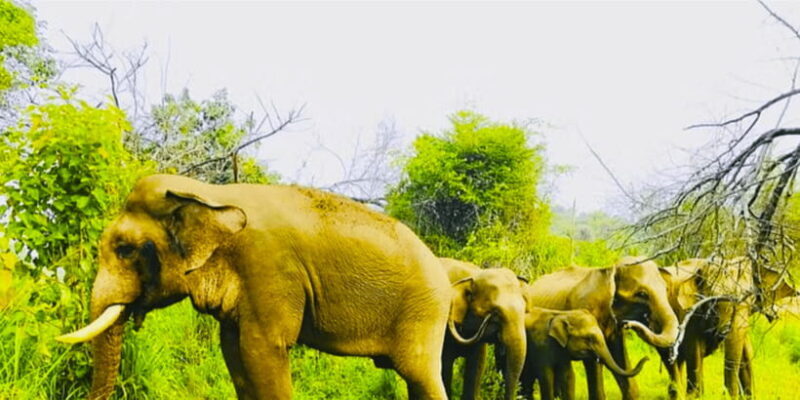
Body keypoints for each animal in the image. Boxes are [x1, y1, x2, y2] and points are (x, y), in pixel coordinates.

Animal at [55, 174, 454, 400]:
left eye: (124, 249)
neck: (208, 194)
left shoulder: (269, 267)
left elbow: (262, 349)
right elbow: (233, 350)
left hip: (423, 313)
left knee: (421, 375)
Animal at [520, 307, 649, 400]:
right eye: (590, 339)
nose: (647, 358)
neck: (562, 314)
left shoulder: (563, 351)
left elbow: (568, 375)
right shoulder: (541, 346)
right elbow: (546, 375)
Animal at [657, 257, 800, 400]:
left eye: (752, 299)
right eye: (714, 302)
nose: (725, 393)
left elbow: (746, 353)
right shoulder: (689, 313)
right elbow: (695, 352)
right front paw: (696, 396)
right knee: (671, 360)